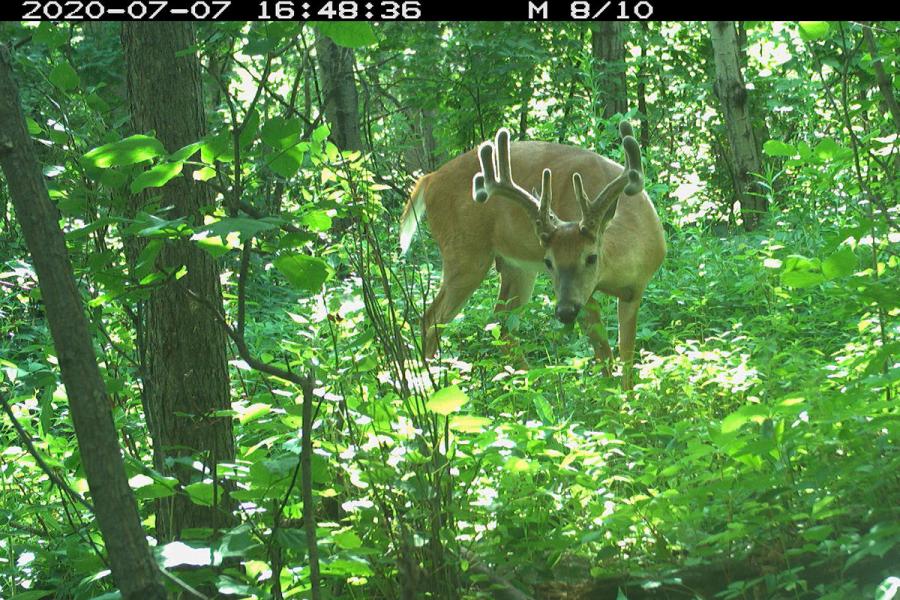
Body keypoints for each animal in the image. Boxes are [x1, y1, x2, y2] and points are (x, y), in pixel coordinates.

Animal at [398, 122, 664, 390]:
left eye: (591, 257)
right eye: (549, 262)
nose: (564, 311)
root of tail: (429, 179)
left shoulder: (635, 291)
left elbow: (627, 354)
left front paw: (628, 395)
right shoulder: (586, 298)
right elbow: (604, 354)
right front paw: (612, 395)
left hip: (517, 267)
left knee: (501, 321)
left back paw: (533, 384)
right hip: (464, 253)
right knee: (431, 319)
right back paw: (430, 382)